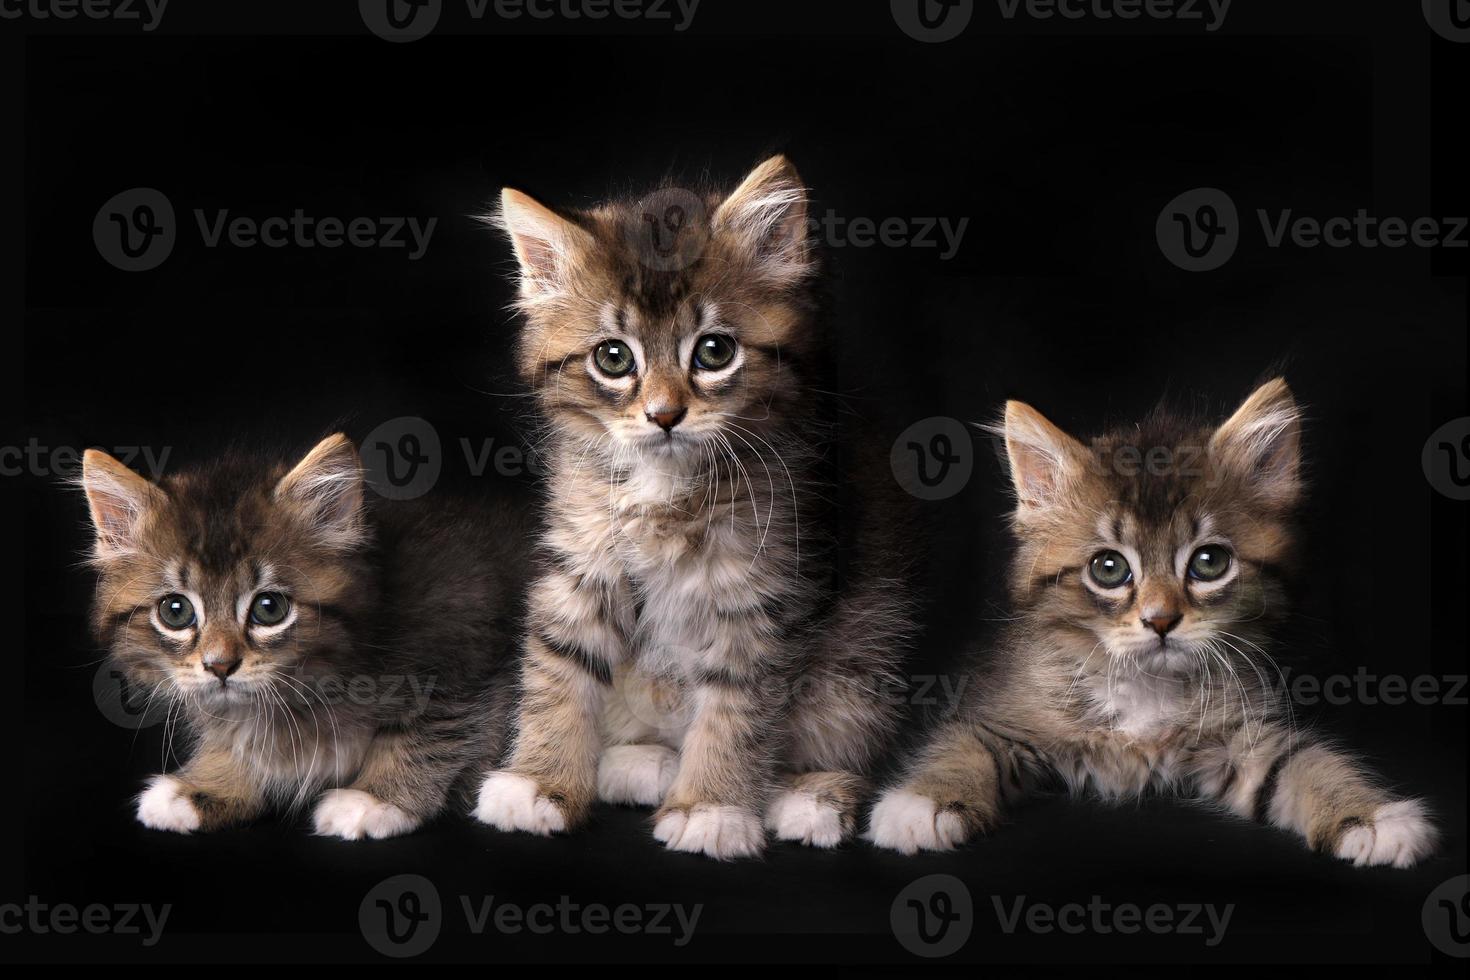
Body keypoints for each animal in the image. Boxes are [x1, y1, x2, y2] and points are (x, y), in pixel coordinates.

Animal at [81, 431, 529, 840]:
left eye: (269, 608)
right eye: (175, 612)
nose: (220, 666)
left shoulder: (462, 655)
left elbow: (429, 737)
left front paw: (376, 798)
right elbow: (239, 738)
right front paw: (208, 784)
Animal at [476, 153, 911, 858]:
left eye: (714, 351)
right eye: (613, 358)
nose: (663, 414)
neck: (667, 484)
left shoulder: (766, 585)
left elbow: (736, 706)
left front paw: (712, 807)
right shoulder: (581, 558)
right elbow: (559, 668)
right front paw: (538, 781)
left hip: (867, 647)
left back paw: (811, 796)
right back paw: (642, 761)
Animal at [870, 379, 1434, 869]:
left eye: (1209, 562)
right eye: (1108, 568)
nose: (1161, 620)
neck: (1146, 686)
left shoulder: (1242, 737)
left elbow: (1303, 762)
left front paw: (1369, 817)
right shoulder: (1005, 714)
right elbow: (967, 748)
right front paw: (924, 803)